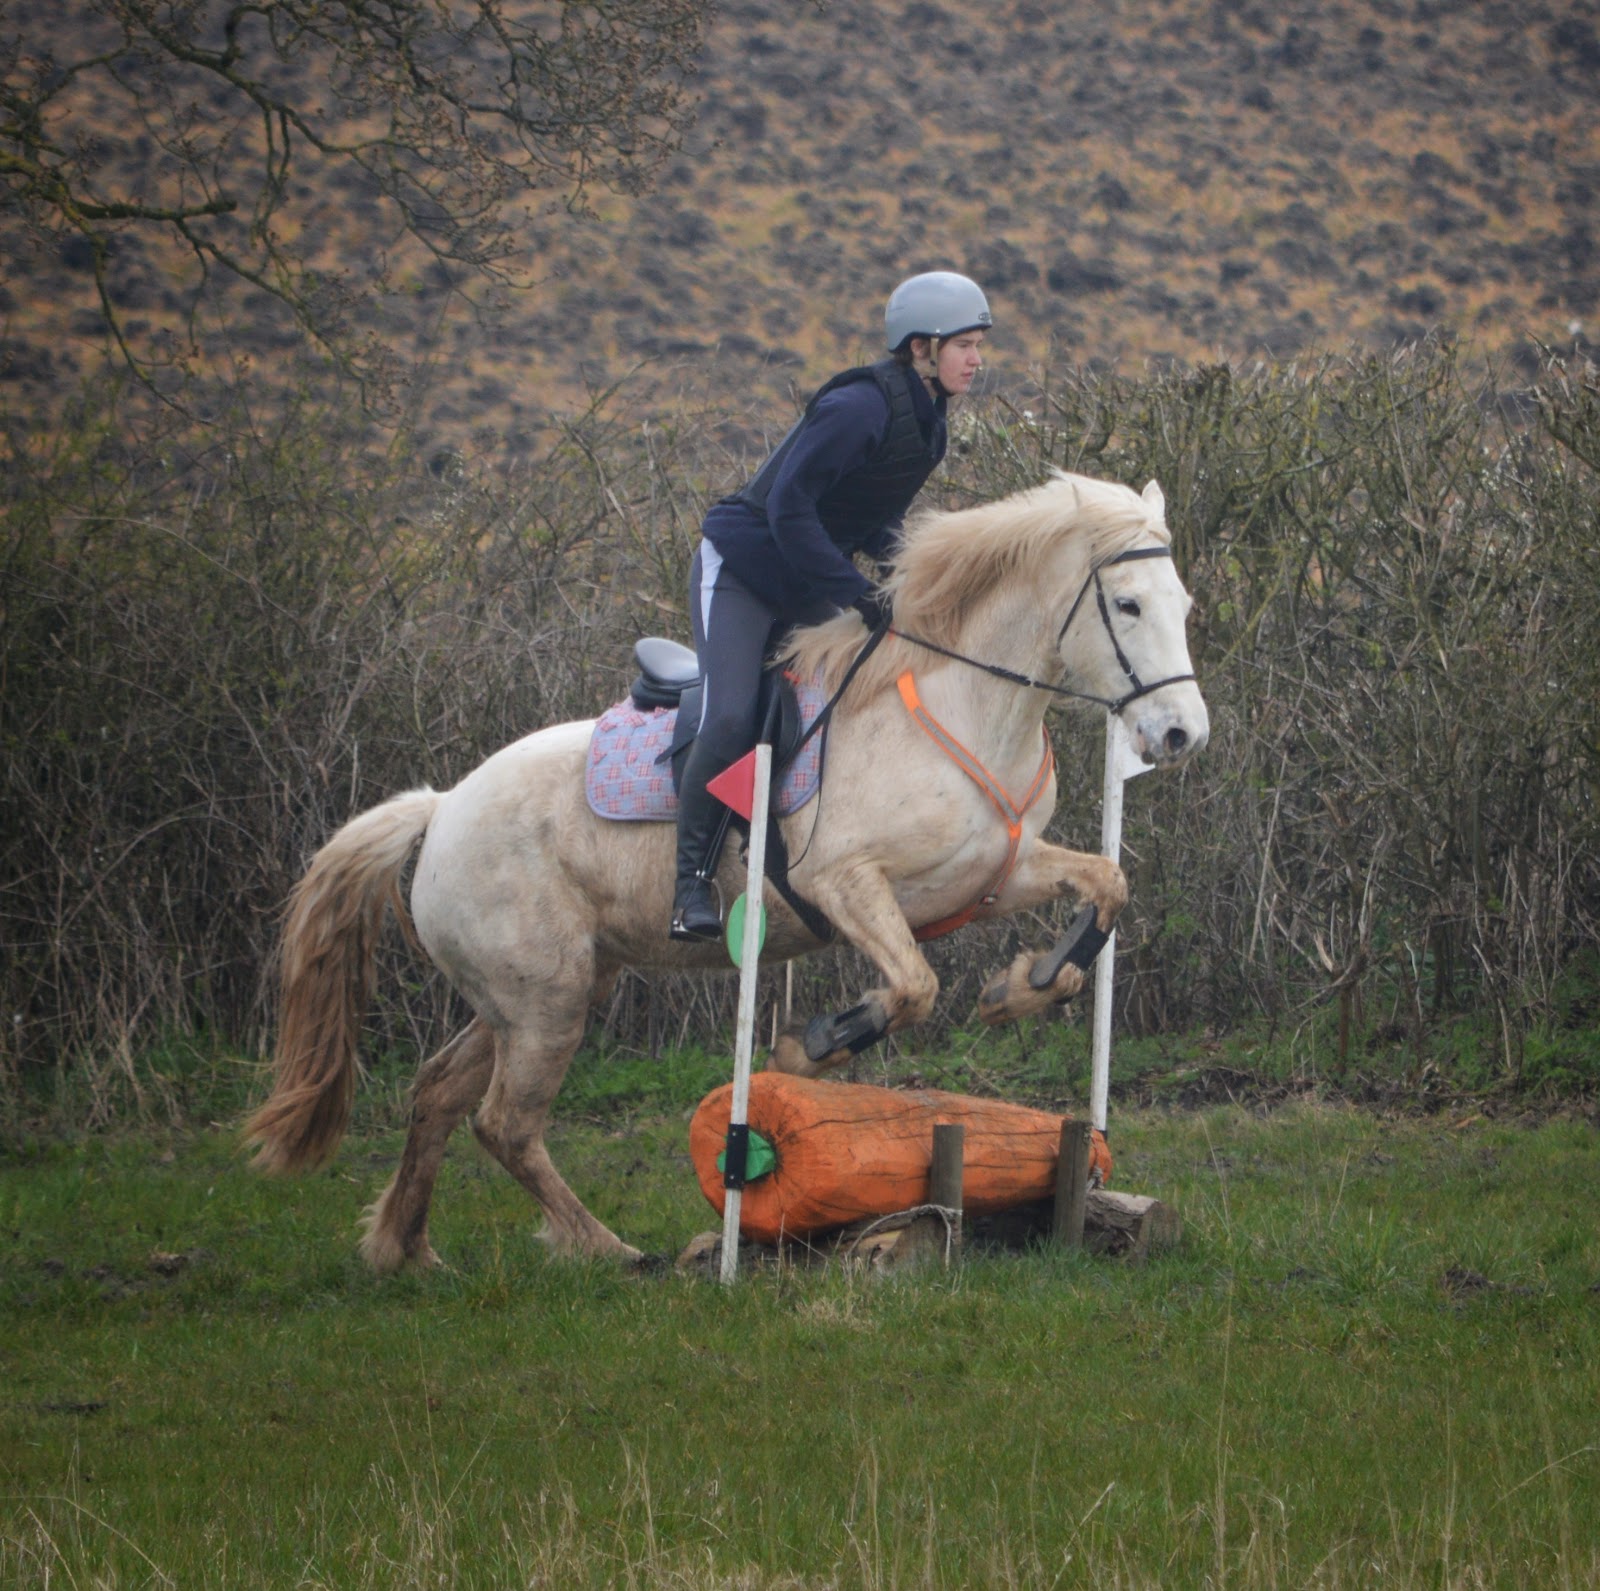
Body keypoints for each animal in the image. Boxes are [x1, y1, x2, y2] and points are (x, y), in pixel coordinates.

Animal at [244, 470, 1210, 1270]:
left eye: (1184, 602)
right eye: (1127, 604)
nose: (1179, 736)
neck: (963, 701)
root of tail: (441, 807)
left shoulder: (995, 875)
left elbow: (1106, 889)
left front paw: (1026, 985)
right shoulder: (844, 884)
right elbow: (913, 985)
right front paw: (813, 1044)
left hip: (533, 991)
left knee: (440, 1094)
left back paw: (406, 1248)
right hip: (545, 997)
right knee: (506, 1122)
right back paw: (605, 1247)